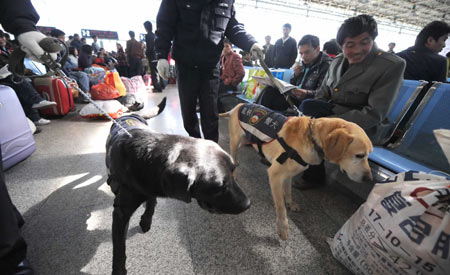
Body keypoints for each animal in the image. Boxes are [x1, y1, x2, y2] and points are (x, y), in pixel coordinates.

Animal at [107, 99, 251, 275]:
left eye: (233, 170)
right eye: (218, 187)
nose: (248, 204)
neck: (148, 157)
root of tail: (130, 114)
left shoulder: (152, 188)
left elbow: (152, 203)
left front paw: (146, 219)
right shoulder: (120, 214)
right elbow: (119, 249)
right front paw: (119, 270)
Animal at [221, 104, 372, 242]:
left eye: (368, 155)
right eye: (359, 155)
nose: (369, 179)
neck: (311, 138)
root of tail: (238, 105)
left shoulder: (289, 174)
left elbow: (288, 191)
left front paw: (291, 203)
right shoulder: (274, 175)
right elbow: (280, 207)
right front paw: (283, 228)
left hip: (246, 139)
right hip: (236, 140)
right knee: (232, 153)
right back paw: (233, 170)